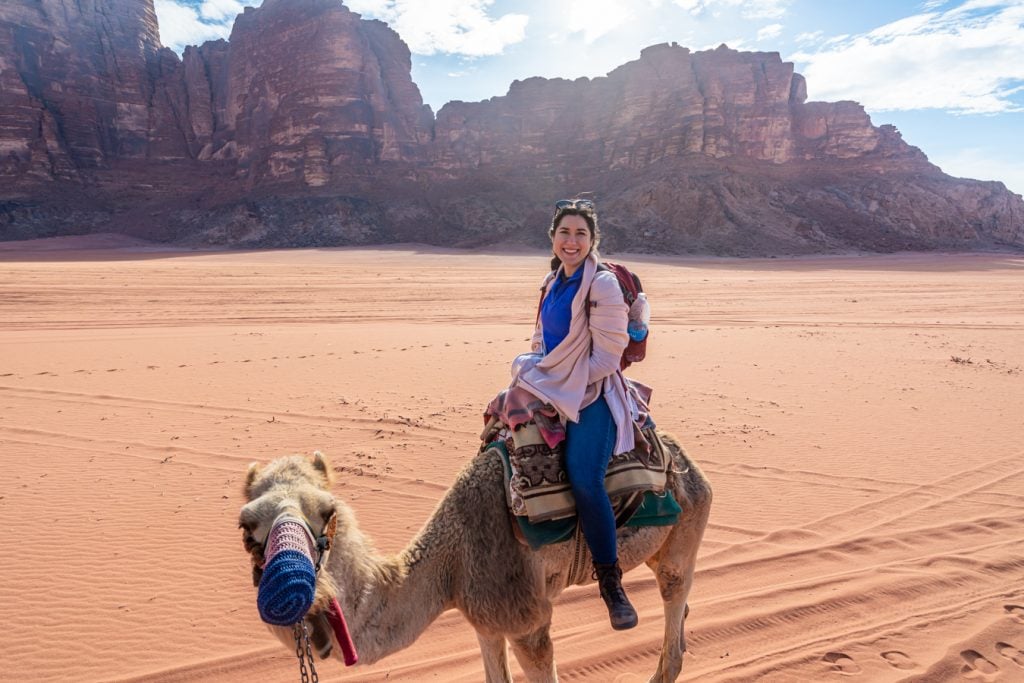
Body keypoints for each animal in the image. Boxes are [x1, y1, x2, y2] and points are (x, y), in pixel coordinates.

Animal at [239, 432, 712, 683]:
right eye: (246, 528)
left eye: (327, 511)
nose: (288, 585)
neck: (451, 561)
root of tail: (682, 457)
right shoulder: (484, 616)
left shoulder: (527, 620)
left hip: (688, 523)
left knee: (673, 595)